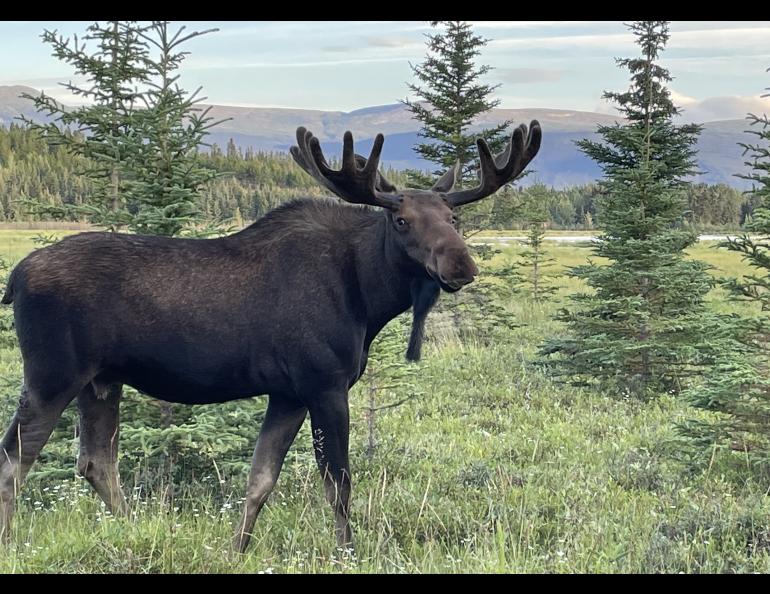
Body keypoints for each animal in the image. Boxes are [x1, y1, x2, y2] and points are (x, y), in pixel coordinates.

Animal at [0, 120, 540, 552]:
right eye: (402, 219)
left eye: (454, 218)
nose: (462, 266)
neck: (368, 300)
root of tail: (14, 280)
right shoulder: (324, 383)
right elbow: (338, 482)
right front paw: (348, 551)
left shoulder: (286, 392)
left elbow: (260, 480)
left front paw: (237, 550)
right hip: (52, 374)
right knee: (15, 458)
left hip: (101, 380)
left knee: (95, 462)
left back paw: (137, 530)